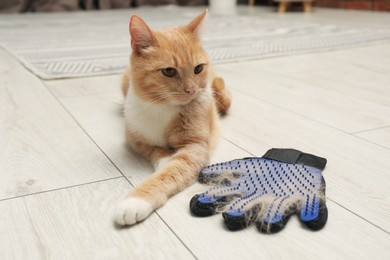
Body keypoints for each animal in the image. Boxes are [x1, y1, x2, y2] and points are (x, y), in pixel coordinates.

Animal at [112, 10, 230, 225]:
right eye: (168, 71)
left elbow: (169, 174)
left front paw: (135, 201)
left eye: (198, 68)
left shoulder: (195, 148)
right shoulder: (133, 137)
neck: (164, 106)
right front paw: (165, 158)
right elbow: (153, 149)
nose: (191, 90)